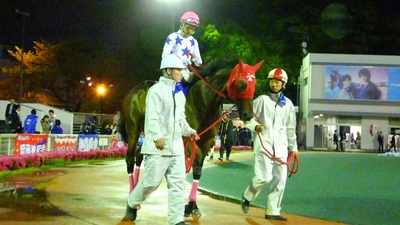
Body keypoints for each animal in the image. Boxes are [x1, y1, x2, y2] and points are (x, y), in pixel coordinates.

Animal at [117, 59, 264, 217]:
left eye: (254, 85)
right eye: (242, 84)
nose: (248, 115)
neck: (203, 101)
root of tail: (134, 90)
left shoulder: (206, 142)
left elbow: (197, 171)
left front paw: (192, 205)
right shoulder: (186, 141)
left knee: (139, 155)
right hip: (133, 130)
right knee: (130, 158)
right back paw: (131, 195)